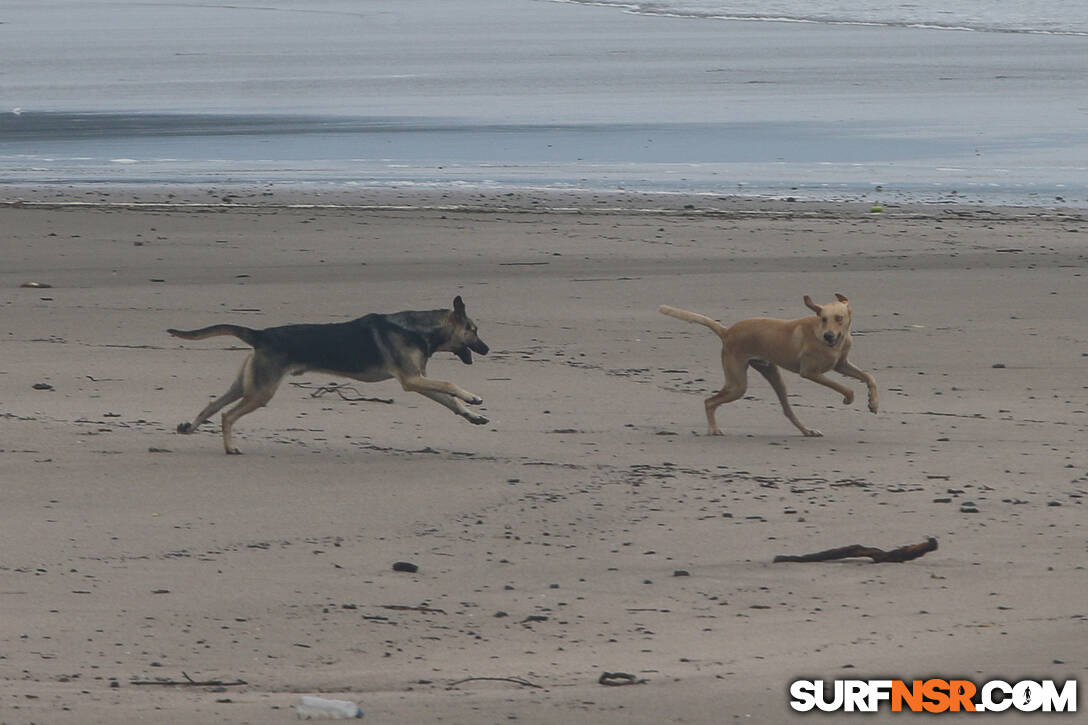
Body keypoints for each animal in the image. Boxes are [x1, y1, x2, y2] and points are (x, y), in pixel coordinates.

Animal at [168, 293, 489, 452]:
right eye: (473, 330)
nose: (486, 349)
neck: (420, 329)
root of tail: (261, 335)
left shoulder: (419, 381)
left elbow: (449, 400)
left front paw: (472, 414)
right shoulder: (412, 380)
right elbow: (449, 383)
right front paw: (473, 397)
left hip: (247, 384)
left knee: (213, 405)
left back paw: (190, 427)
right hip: (262, 390)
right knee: (227, 414)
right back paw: (230, 447)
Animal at [657, 291, 879, 435]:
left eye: (839, 318)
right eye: (823, 319)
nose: (828, 336)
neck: (835, 342)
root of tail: (727, 332)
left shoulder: (841, 365)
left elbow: (870, 377)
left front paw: (873, 403)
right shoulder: (810, 372)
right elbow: (844, 387)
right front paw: (849, 399)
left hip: (772, 374)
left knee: (787, 410)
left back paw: (807, 430)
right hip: (738, 384)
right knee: (709, 401)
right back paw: (713, 429)